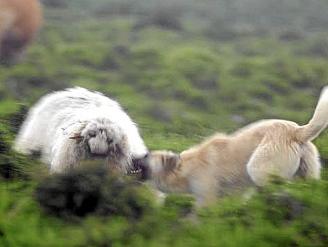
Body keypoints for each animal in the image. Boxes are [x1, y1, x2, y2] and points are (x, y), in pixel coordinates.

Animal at [141, 86, 328, 206]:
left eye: (147, 157)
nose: (138, 156)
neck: (184, 167)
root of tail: (296, 131)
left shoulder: (207, 193)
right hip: (307, 169)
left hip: (259, 164)